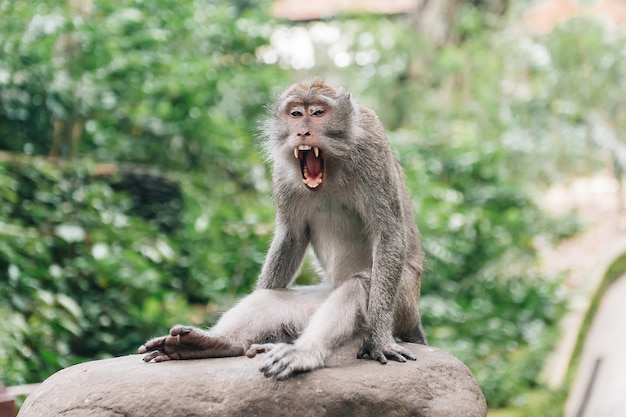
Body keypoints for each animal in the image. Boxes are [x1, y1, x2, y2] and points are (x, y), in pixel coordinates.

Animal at [139, 76, 426, 378]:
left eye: (318, 113)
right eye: (296, 114)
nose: (303, 132)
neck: (332, 166)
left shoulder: (373, 150)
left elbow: (389, 233)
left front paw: (380, 339)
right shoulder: (282, 172)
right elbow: (292, 237)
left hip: (404, 301)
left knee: (360, 286)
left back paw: (304, 353)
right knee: (270, 300)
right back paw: (217, 342)